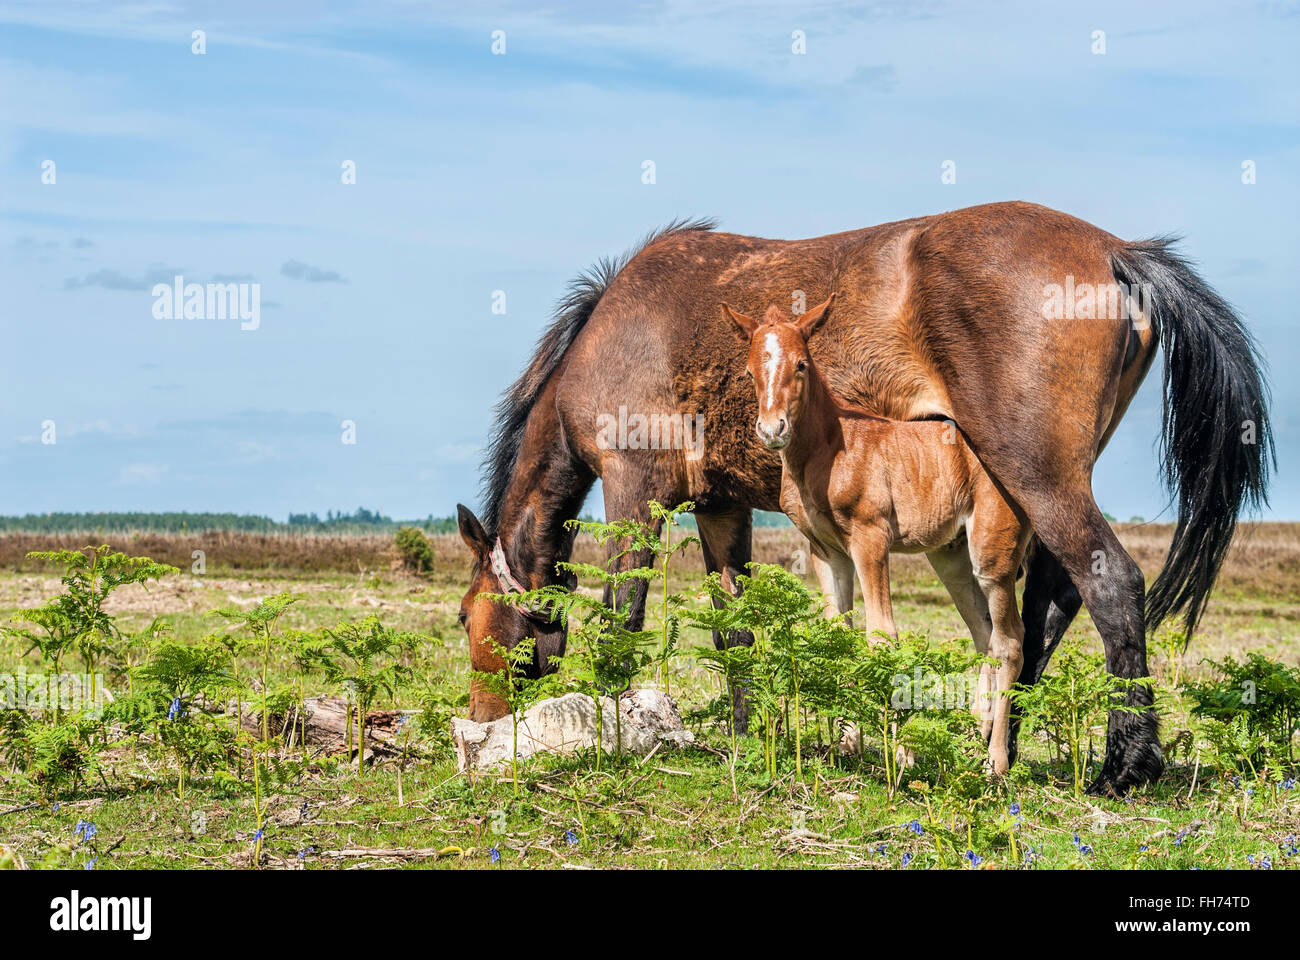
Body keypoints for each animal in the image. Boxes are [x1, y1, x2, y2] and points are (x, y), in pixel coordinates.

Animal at [722, 292, 1033, 773]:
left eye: (801, 364)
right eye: (749, 371)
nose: (772, 430)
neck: (830, 448)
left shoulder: (870, 539)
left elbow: (882, 634)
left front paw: (901, 751)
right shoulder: (826, 551)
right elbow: (839, 634)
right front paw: (847, 742)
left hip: (992, 555)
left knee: (1010, 641)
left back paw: (995, 762)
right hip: (950, 557)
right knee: (984, 634)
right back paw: (971, 738)